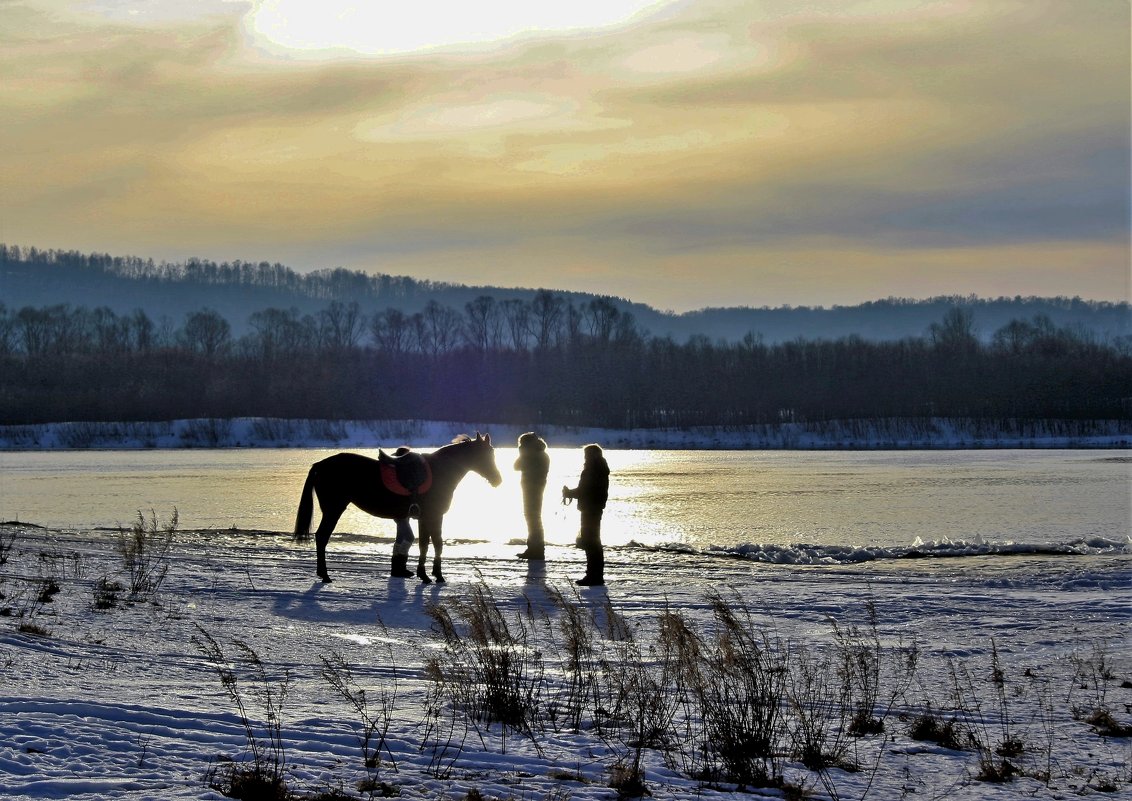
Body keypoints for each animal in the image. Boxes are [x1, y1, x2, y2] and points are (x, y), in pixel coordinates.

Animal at [294, 432, 502, 583]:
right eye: (485, 454)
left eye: (492, 453)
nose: (498, 480)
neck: (440, 472)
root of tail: (320, 465)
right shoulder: (433, 516)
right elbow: (435, 544)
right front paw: (434, 575)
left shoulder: (425, 518)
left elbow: (427, 544)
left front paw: (427, 574)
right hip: (333, 510)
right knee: (322, 537)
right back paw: (325, 575)